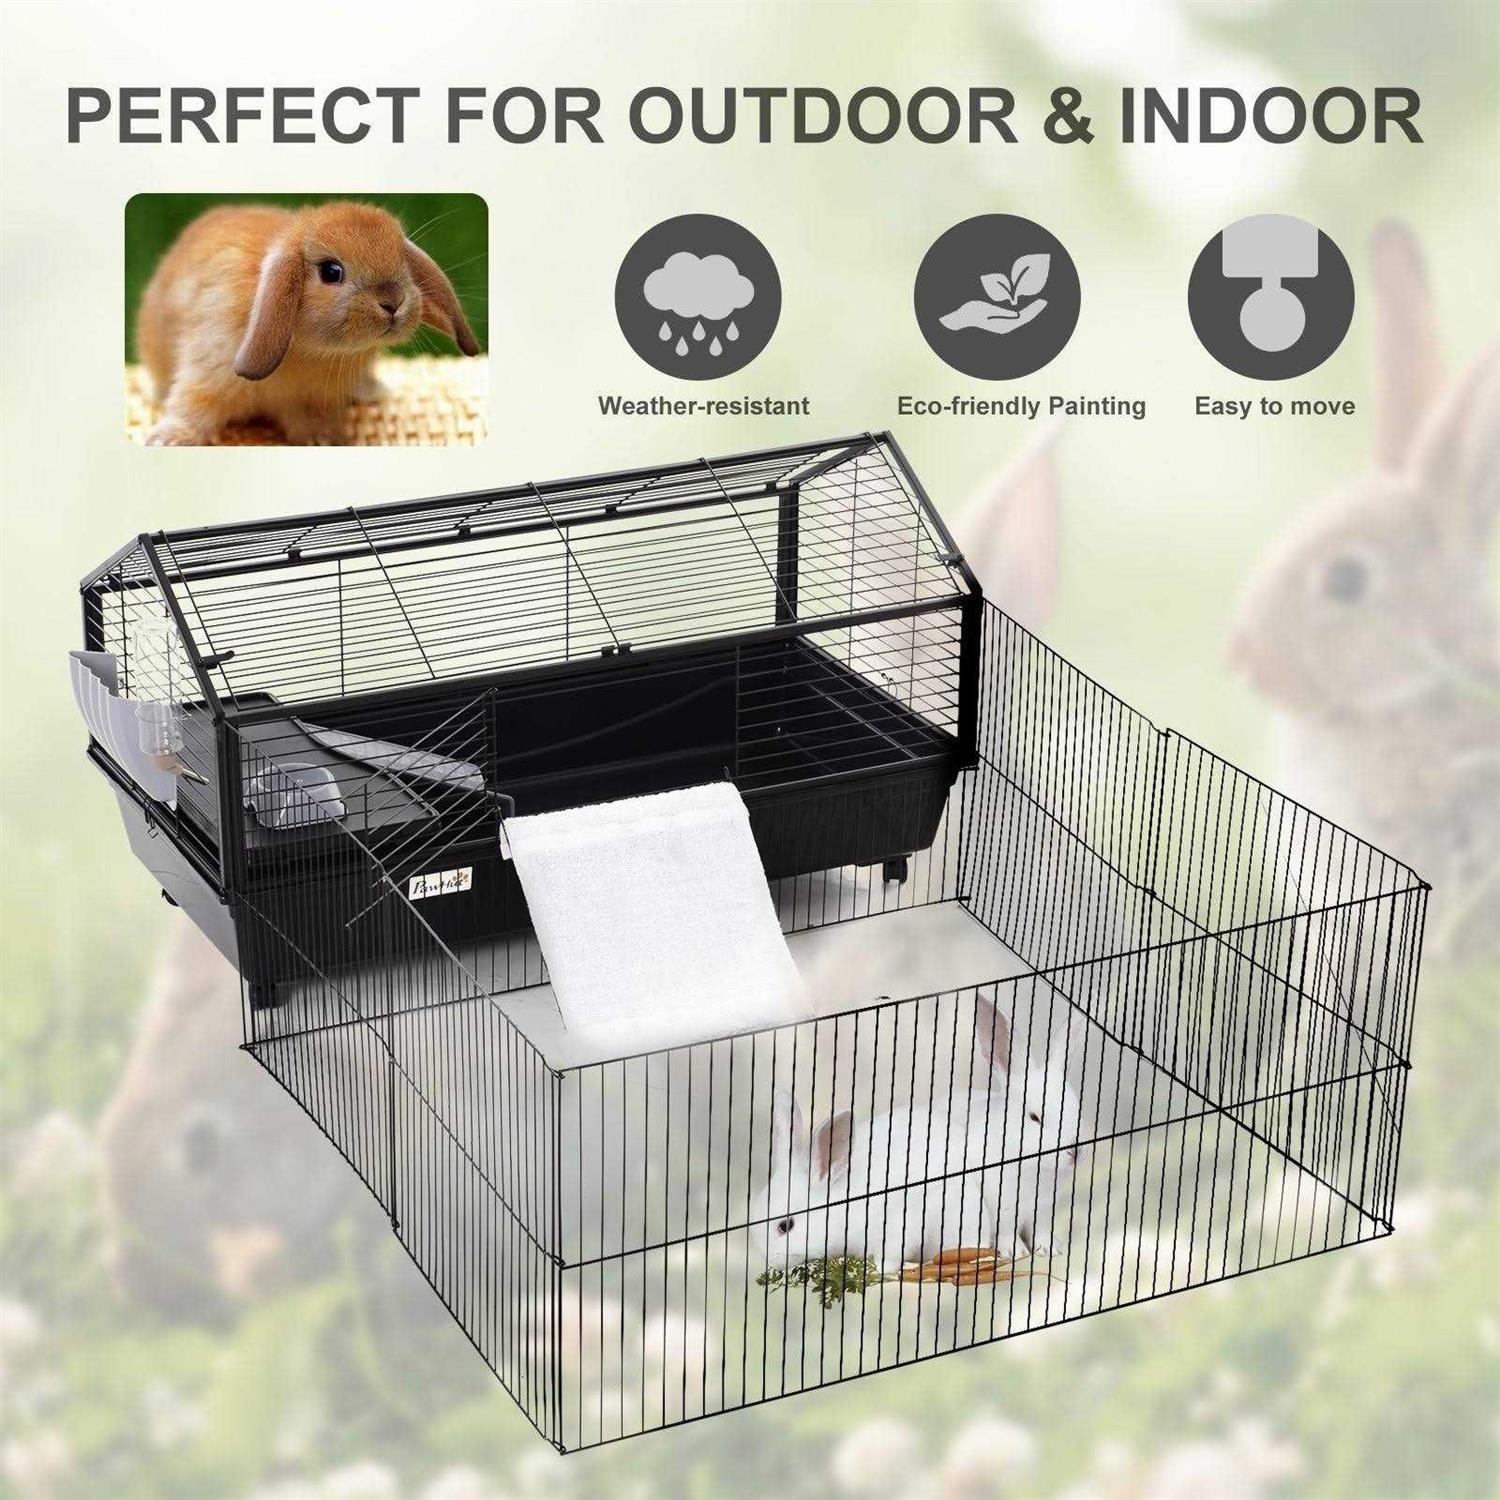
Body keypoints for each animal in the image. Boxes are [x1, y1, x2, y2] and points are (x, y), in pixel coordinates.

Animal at [137, 200, 479, 446]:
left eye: (402, 263)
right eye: (331, 271)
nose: (393, 302)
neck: (308, 350)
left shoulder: (314, 400)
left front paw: (322, 441)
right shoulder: (208, 374)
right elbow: (193, 408)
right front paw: (167, 439)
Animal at [749, 994, 1081, 1273]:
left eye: (785, 1227)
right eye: (1035, 1117)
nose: (767, 1261)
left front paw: (1049, 1250)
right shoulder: (1005, 1207)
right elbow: (1010, 1233)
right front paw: (1019, 1253)